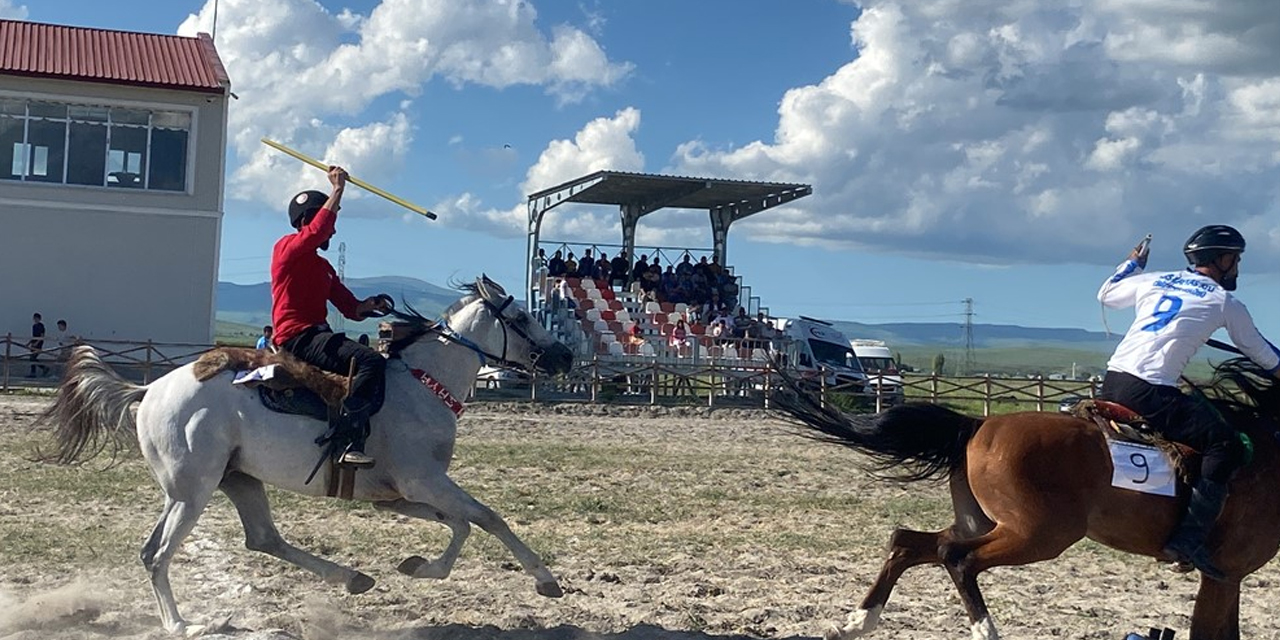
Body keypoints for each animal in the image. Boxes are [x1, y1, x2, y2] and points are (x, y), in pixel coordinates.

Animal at [45, 276, 573, 634]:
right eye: (521, 319)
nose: (565, 356)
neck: (421, 385)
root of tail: (151, 389)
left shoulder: (398, 497)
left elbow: (461, 523)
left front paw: (420, 567)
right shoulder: (424, 482)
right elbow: (488, 518)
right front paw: (545, 580)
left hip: (237, 478)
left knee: (262, 539)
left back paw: (352, 578)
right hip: (190, 491)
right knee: (157, 554)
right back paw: (182, 625)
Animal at [773, 358, 1280, 640]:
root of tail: (977, 425)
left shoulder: (1227, 579)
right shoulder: (1224, 576)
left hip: (985, 522)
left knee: (909, 542)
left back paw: (854, 624)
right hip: (1039, 535)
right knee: (955, 557)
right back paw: (986, 633)